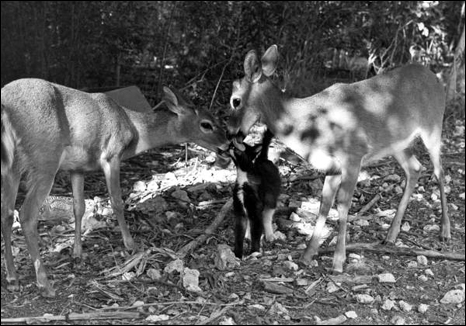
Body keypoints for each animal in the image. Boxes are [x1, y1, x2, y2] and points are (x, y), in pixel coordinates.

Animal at [0, 77, 230, 296]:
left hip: (12, 167)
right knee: (26, 215)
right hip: (44, 158)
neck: (133, 127)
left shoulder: (77, 168)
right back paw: (44, 284)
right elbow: (117, 201)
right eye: (206, 124)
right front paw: (131, 245)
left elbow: (79, 208)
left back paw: (12, 279)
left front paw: (77, 253)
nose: (227, 145)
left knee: (7, 213)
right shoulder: (111, 155)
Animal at [228, 129, 280, 258]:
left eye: (239, 148)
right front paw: (237, 254)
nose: (230, 146)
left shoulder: (255, 211)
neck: (243, 177)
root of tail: (262, 158)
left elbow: (256, 231)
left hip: (271, 198)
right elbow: (239, 234)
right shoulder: (239, 211)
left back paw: (270, 235)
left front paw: (254, 252)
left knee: (267, 216)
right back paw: (248, 235)